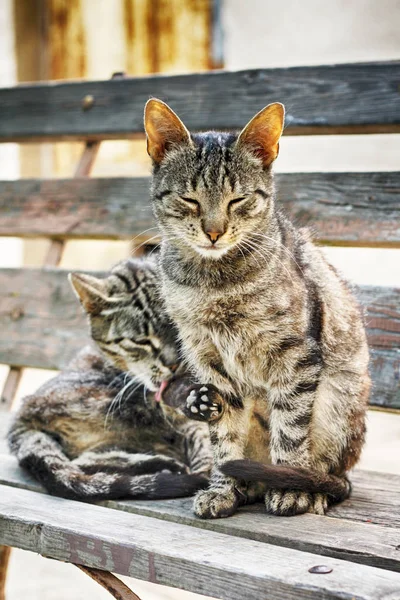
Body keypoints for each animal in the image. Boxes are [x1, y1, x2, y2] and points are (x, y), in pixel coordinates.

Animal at [7, 258, 212, 502]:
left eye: (179, 326)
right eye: (141, 341)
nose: (173, 364)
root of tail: (19, 416)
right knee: (82, 463)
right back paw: (167, 466)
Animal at [143, 97, 368, 516]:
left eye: (238, 199)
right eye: (189, 199)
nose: (214, 232)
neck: (214, 283)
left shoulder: (295, 357)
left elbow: (290, 429)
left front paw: (291, 486)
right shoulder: (210, 363)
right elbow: (224, 440)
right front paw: (223, 489)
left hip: (338, 404)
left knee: (331, 474)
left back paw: (308, 489)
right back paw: (250, 486)